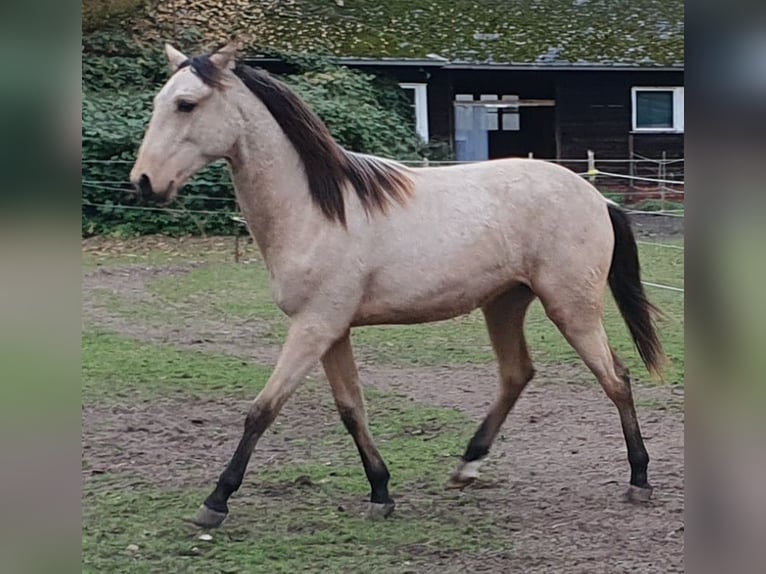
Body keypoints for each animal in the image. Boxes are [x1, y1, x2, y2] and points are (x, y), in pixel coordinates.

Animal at [130, 44, 664, 532]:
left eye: (186, 104)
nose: (144, 181)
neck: (317, 210)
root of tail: (596, 197)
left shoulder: (313, 327)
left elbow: (262, 410)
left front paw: (216, 501)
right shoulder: (332, 331)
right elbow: (351, 410)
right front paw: (381, 491)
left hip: (571, 308)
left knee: (616, 378)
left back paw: (639, 479)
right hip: (504, 304)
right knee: (517, 374)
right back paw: (467, 467)